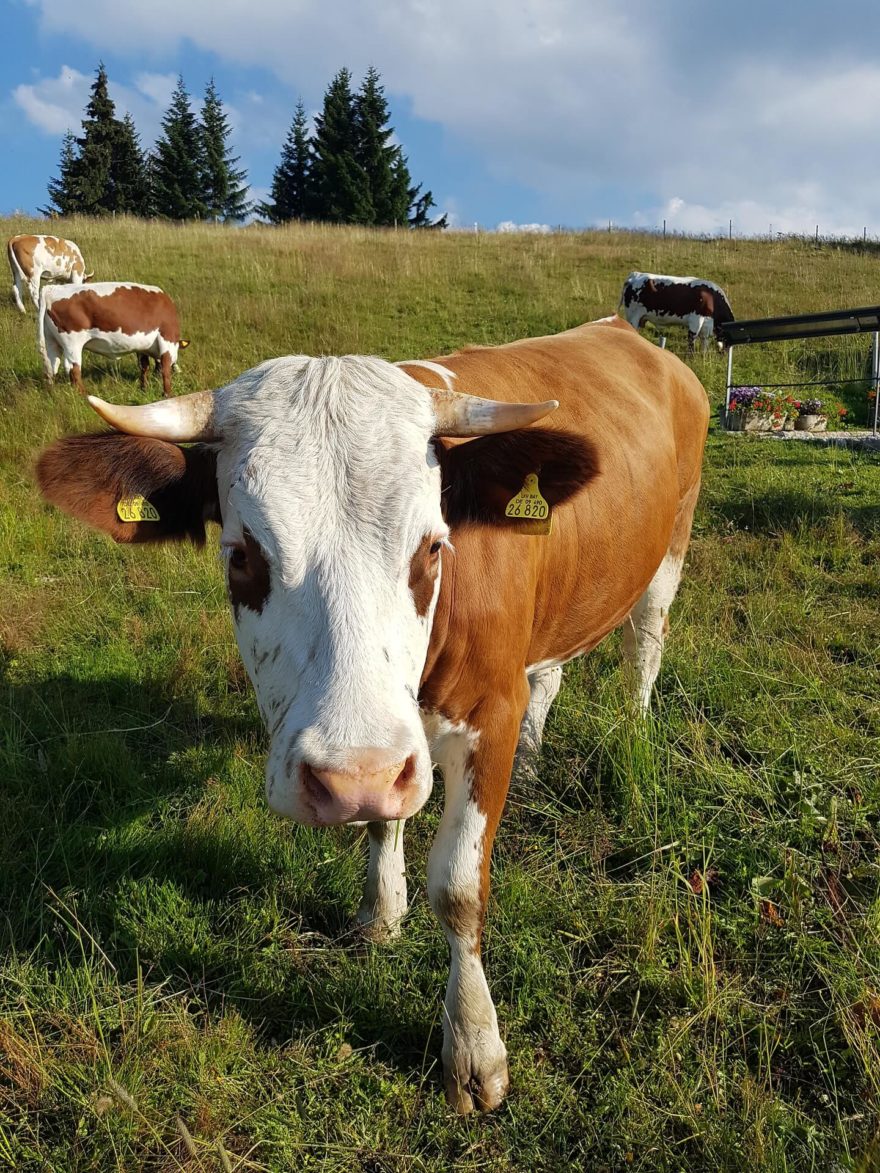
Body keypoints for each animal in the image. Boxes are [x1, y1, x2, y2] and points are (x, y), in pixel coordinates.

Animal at [36, 319, 708, 1116]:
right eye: (241, 557)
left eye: (432, 547)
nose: (346, 780)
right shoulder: (393, 744)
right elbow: (388, 815)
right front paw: (383, 907)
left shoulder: (490, 715)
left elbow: (459, 887)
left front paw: (473, 1045)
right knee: (552, 668)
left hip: (669, 552)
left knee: (645, 645)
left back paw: (632, 737)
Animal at [39, 281, 190, 396]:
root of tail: (52, 288)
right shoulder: (167, 339)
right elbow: (166, 369)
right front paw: (167, 394)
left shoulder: (142, 348)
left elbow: (144, 366)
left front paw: (144, 389)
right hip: (72, 343)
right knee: (73, 369)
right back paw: (85, 396)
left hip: (51, 342)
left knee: (51, 368)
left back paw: (52, 393)